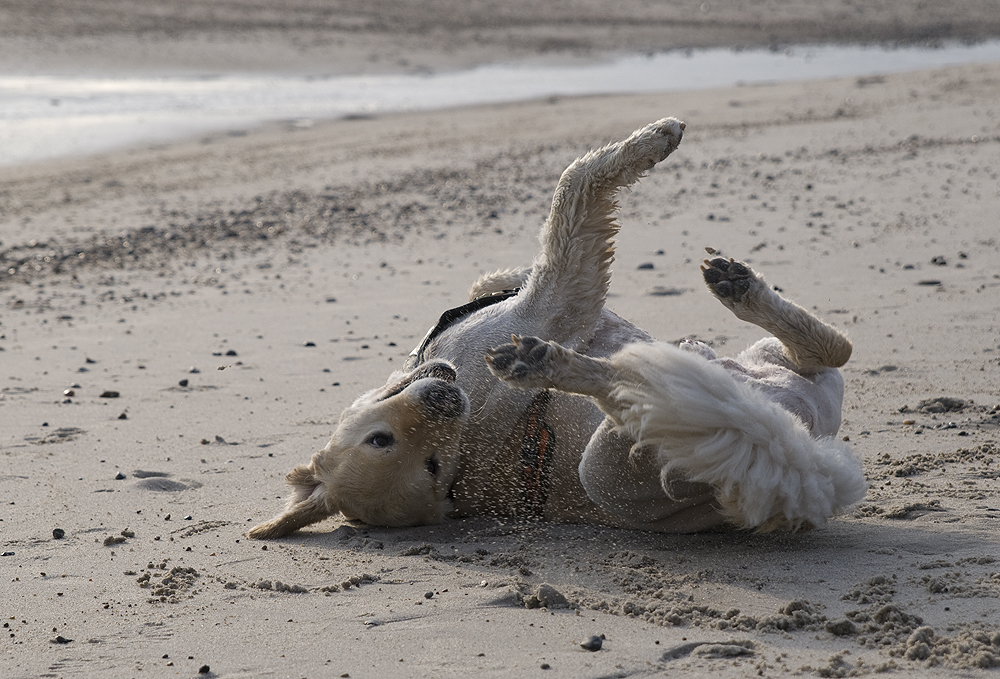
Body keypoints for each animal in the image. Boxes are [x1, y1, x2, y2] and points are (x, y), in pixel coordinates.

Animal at [246, 118, 864, 540]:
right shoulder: (554, 298)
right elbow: (574, 187)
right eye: (391, 446)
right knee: (649, 407)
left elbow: (508, 266)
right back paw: (554, 365)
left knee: (827, 350)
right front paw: (654, 139)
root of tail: (807, 478)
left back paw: (734, 290)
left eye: (426, 462)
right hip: (614, 467)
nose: (449, 397)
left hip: (772, 366)